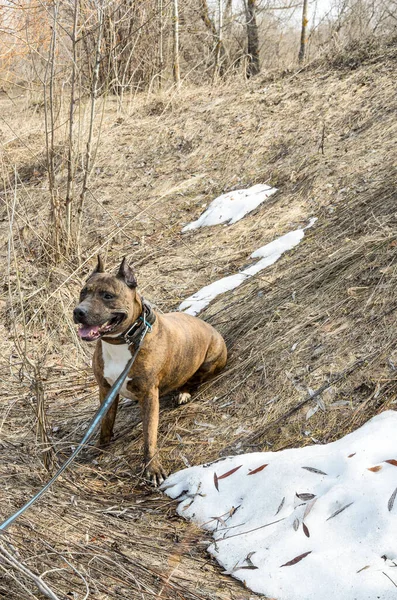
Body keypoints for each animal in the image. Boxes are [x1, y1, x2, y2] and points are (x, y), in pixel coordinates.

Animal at [74, 255, 227, 486]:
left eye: (107, 295)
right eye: (84, 292)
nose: (78, 311)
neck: (124, 340)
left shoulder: (148, 395)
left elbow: (149, 435)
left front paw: (152, 468)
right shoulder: (106, 389)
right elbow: (105, 424)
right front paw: (101, 447)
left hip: (211, 358)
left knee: (195, 380)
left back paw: (184, 393)